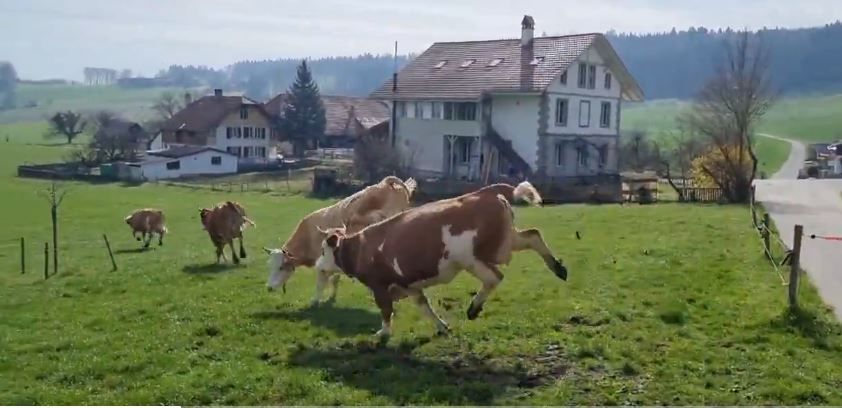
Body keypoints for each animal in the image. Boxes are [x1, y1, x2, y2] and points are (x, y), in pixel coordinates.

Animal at [263, 176, 417, 305]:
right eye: (269, 266)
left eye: (281, 267)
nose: (269, 288)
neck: (308, 236)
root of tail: (385, 183)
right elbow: (335, 280)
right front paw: (332, 297)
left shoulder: (323, 263)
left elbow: (322, 283)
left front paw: (315, 301)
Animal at [312, 181, 567, 337]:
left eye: (324, 250)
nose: (317, 265)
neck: (361, 248)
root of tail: (484, 192)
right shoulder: (409, 286)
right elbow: (425, 308)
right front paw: (442, 327)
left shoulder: (380, 287)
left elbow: (385, 312)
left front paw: (383, 333)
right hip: (505, 241)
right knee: (533, 235)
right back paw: (558, 268)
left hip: (472, 258)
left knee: (495, 277)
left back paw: (474, 308)